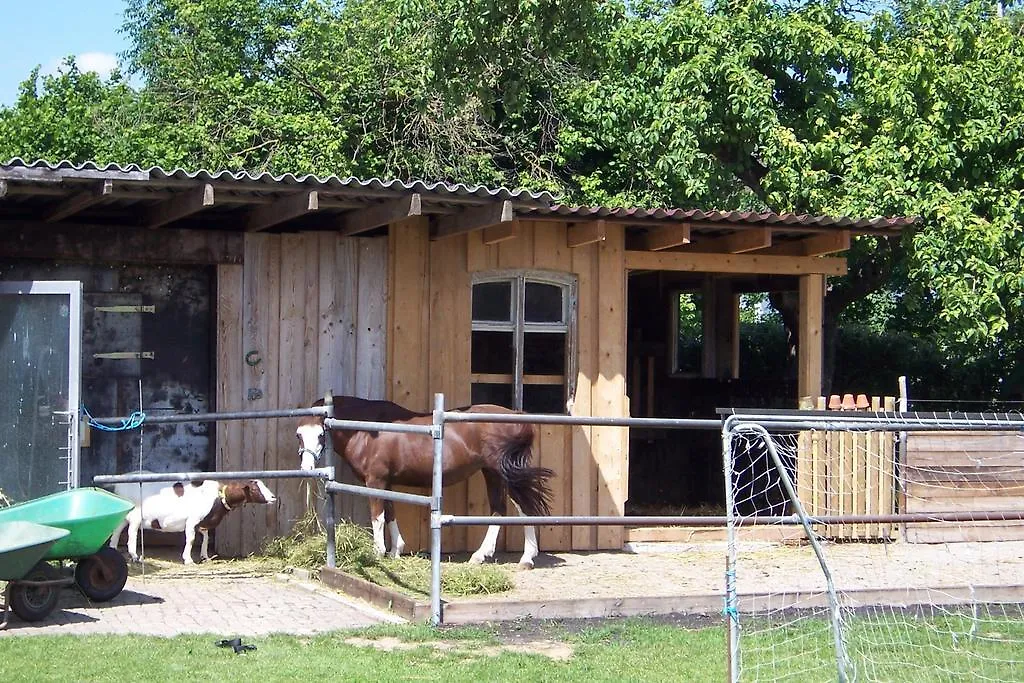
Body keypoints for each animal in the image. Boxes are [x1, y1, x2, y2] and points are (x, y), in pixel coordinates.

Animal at [296, 395, 552, 565]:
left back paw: (513, 557)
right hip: (497, 473)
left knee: (516, 507)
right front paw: (395, 551)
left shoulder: (375, 481)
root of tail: (518, 418)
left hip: (500, 472)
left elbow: (378, 517)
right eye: (299, 434)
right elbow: (391, 513)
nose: (307, 468)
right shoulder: (387, 483)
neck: (366, 430)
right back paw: (501, 556)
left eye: (321, 434)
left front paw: (378, 552)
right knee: (510, 508)